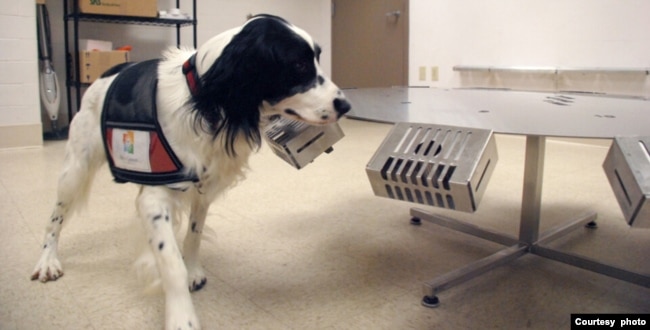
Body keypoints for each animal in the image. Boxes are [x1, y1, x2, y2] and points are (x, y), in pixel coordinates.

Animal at [30, 14, 350, 328]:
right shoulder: (155, 196)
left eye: (317, 58)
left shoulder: (202, 186)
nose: (346, 104)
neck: (205, 101)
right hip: (75, 169)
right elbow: (170, 261)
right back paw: (47, 260)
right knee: (54, 219)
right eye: (298, 65)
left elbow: (194, 233)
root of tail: (112, 69)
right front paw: (181, 316)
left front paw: (193, 268)